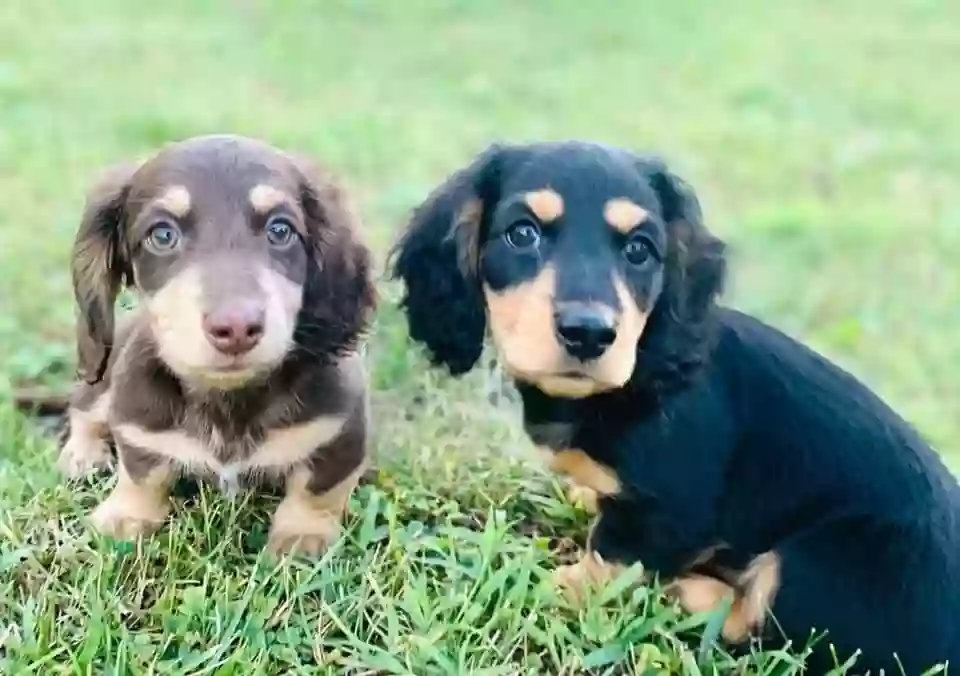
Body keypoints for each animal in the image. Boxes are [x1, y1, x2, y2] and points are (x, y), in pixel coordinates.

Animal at [58, 133, 376, 556]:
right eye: (162, 235)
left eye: (281, 230)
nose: (237, 327)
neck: (228, 402)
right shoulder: (135, 424)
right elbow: (143, 473)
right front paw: (126, 515)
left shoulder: (341, 430)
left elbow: (316, 489)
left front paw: (301, 535)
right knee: (83, 410)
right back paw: (82, 454)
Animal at [388, 140, 960, 672]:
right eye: (522, 233)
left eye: (640, 250)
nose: (589, 333)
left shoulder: (672, 507)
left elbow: (611, 554)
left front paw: (561, 583)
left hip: (826, 564)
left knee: (758, 625)